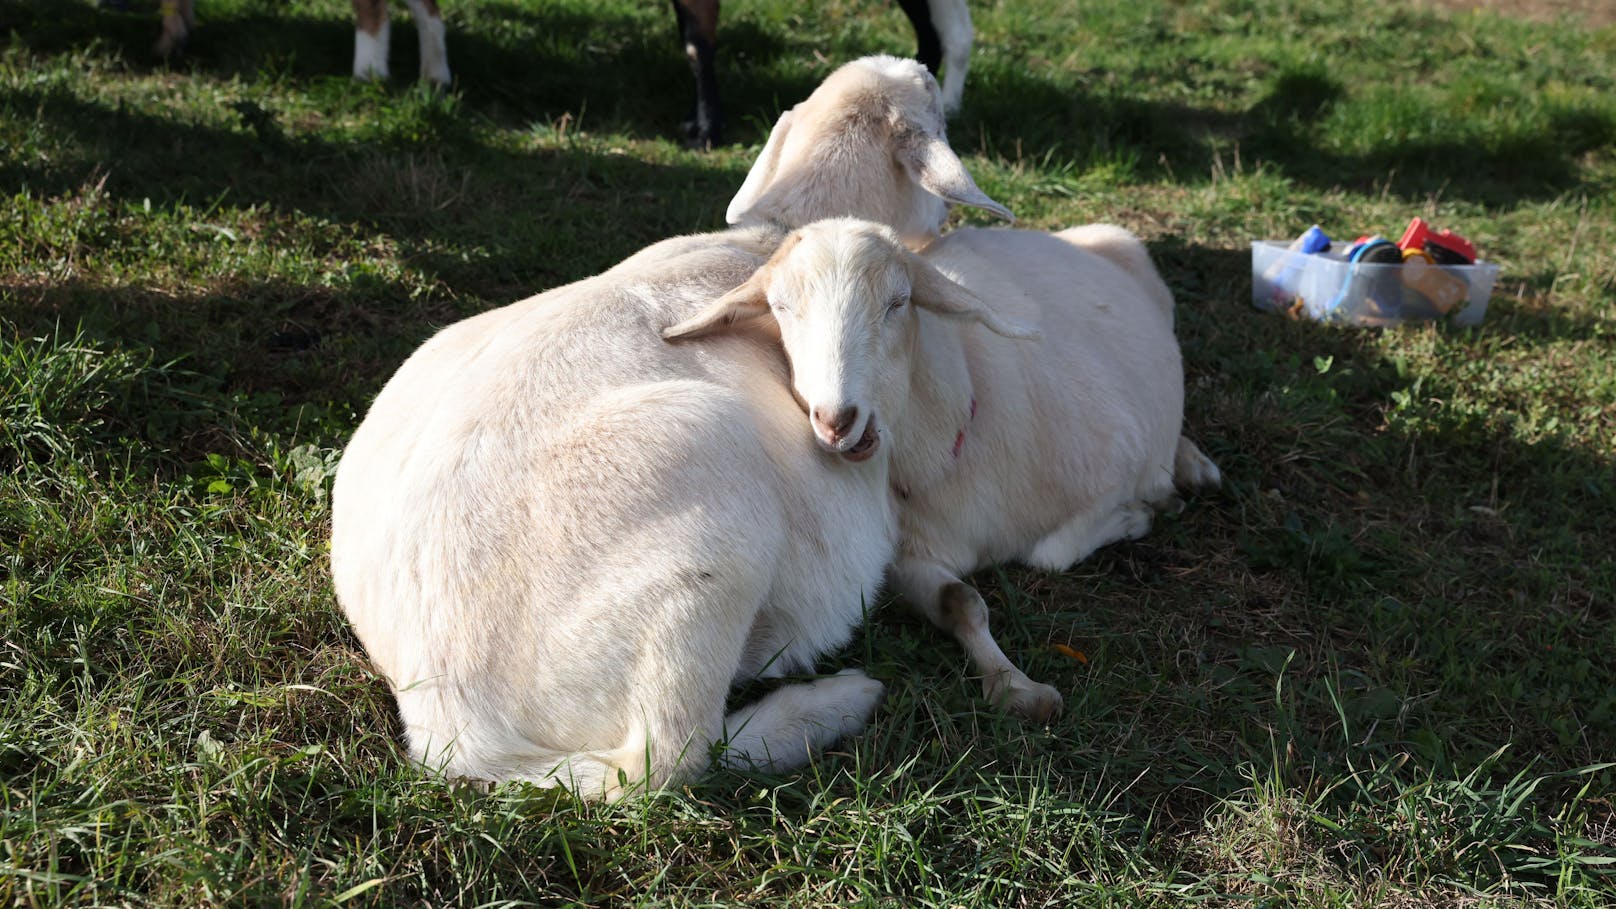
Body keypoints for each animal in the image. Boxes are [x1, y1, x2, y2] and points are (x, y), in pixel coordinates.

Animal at [329, 56, 1008, 795]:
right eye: (937, 112)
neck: (773, 235)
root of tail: (454, 724)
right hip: (708, 555)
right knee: (669, 757)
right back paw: (831, 703)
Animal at [662, 215, 1215, 718]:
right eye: (780, 308)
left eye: (898, 302)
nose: (837, 420)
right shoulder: (906, 558)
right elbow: (961, 600)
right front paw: (1014, 685)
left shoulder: (1115, 459)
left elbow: (1050, 554)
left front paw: (1140, 513)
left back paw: (1195, 467)